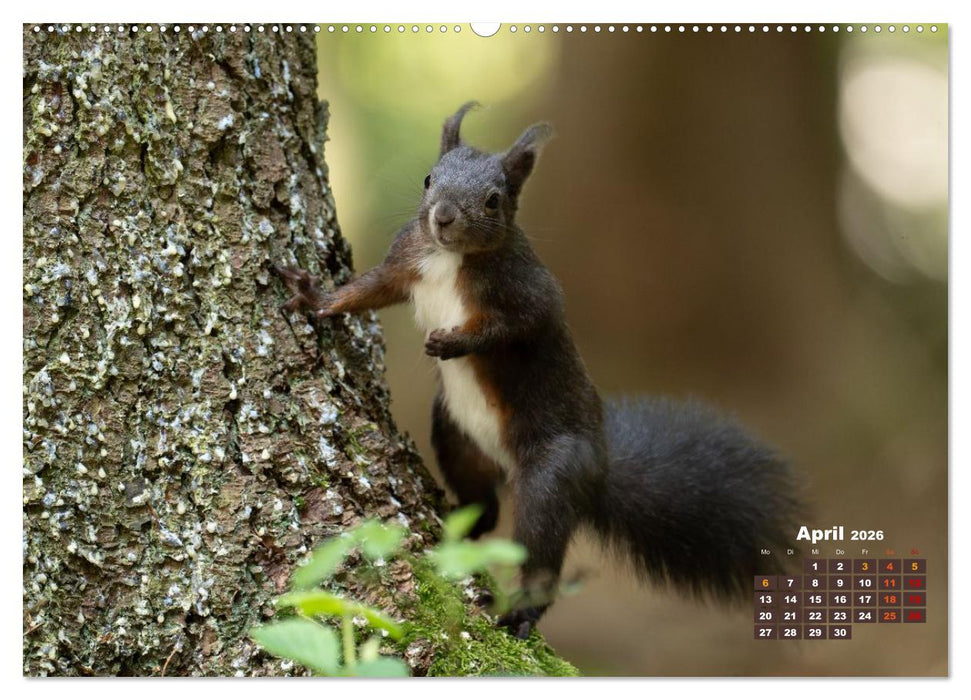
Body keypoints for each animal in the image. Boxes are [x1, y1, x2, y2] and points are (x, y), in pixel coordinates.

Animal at [276, 102, 802, 639]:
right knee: (484, 508)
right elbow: (367, 291)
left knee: (540, 557)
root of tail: (599, 471)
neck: (450, 257)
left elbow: (511, 329)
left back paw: (521, 612)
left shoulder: (531, 296)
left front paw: (451, 342)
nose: (442, 217)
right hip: (456, 435)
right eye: (429, 179)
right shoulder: (406, 262)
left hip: (551, 479)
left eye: (493, 200)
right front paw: (314, 298)